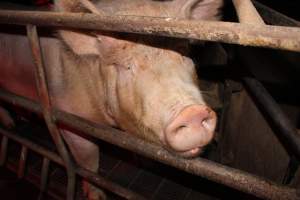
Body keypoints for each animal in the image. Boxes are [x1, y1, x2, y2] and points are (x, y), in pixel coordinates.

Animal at [0, 0, 223, 199]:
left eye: (183, 55)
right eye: (126, 66)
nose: (192, 113)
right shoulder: (66, 115)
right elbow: (88, 160)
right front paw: (98, 196)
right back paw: (12, 125)